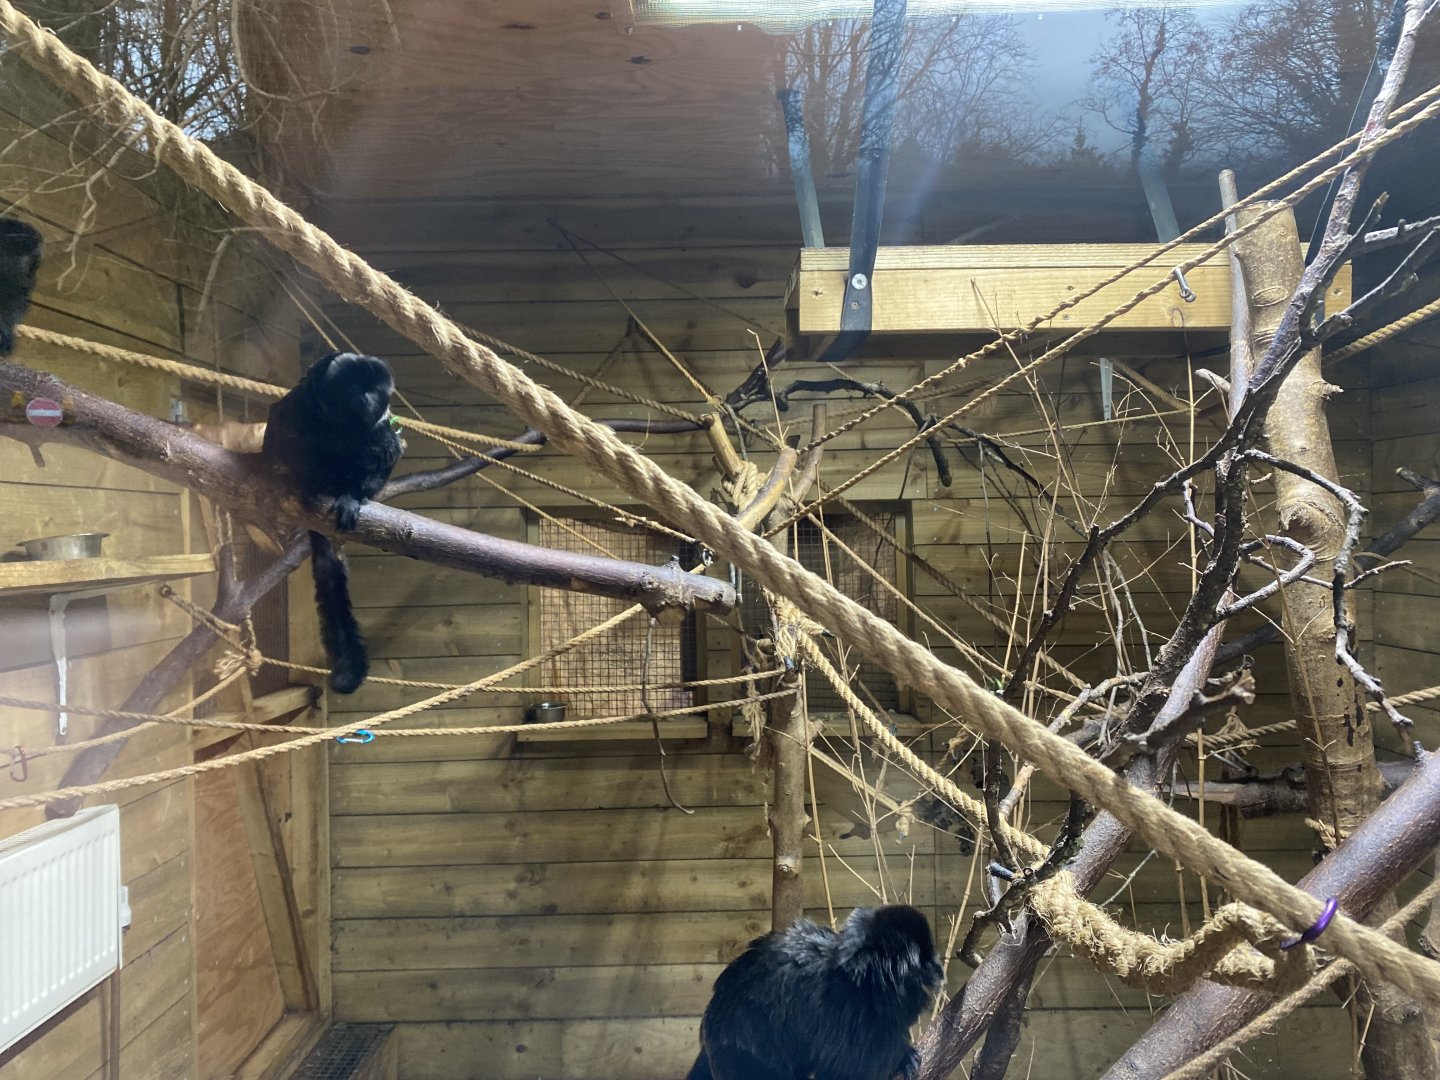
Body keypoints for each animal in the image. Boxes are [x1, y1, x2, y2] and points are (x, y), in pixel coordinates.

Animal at [262, 352, 403, 693]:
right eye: (355, 388)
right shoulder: (296, 406)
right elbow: (278, 432)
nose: (367, 398)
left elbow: (386, 451)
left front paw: (352, 497)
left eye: (374, 390)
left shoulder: (380, 428)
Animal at [688, 904, 943, 1080]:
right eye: (925, 956)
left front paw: (905, 1058)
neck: (863, 977)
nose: (938, 964)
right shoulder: (845, 1014)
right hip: (735, 1052)